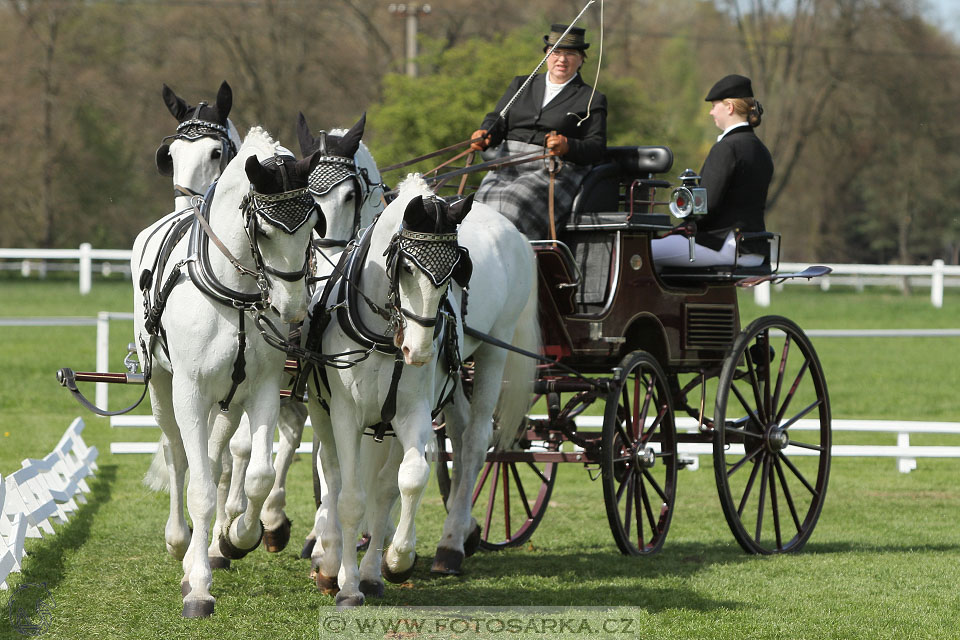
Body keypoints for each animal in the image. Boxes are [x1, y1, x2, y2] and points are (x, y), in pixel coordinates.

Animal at [131, 126, 322, 616]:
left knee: (218, 459)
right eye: (265, 230)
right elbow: (197, 485)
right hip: (163, 390)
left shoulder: (263, 390)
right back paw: (180, 544)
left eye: (313, 224)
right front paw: (198, 587)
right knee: (179, 456)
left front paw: (240, 537)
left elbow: (258, 476)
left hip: (229, 401)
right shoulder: (190, 392)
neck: (235, 294)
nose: (293, 309)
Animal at [304, 174, 536, 604]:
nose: (421, 350)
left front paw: (393, 562)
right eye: (407, 268)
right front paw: (347, 583)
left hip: (495, 349)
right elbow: (350, 495)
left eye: (456, 271)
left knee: (474, 440)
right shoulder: (346, 413)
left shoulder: (410, 412)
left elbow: (404, 481)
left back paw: (451, 545)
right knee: (337, 469)